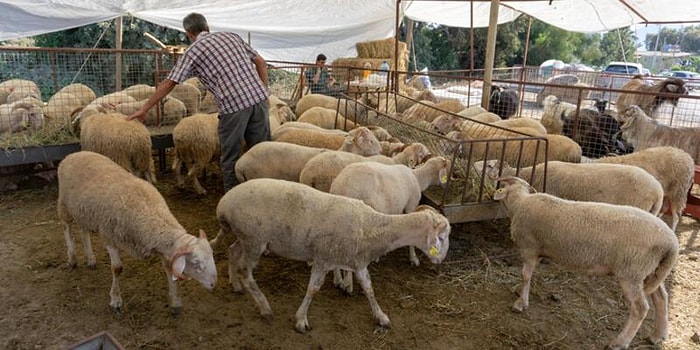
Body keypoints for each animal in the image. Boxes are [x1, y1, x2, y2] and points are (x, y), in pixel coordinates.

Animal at [56, 150, 216, 314]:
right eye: (196, 263)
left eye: (212, 256)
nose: (214, 284)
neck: (151, 213)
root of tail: (74, 154)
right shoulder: (109, 236)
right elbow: (117, 268)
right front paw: (115, 300)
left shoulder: (160, 246)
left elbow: (168, 268)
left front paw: (175, 302)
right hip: (64, 204)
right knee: (66, 227)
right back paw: (72, 258)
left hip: (83, 210)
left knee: (84, 231)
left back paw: (90, 259)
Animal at [213, 179, 452, 332]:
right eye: (442, 236)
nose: (441, 261)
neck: (371, 226)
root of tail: (223, 204)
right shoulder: (323, 259)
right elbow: (313, 289)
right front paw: (301, 320)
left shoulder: (357, 262)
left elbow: (369, 289)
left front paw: (381, 317)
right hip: (254, 240)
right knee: (247, 273)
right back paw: (263, 307)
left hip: (246, 238)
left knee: (232, 250)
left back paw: (235, 284)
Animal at [326, 156, 448, 292]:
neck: (418, 177)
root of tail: (341, 186)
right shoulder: (410, 207)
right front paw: (414, 259)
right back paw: (348, 284)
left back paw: (338, 280)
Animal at [492, 175, 680, 350]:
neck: (520, 203)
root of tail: (672, 243)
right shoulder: (536, 251)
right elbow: (528, 276)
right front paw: (519, 291)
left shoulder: (529, 248)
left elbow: (525, 275)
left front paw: (520, 303)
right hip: (651, 271)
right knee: (661, 297)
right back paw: (658, 335)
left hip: (632, 272)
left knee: (640, 308)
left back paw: (620, 342)